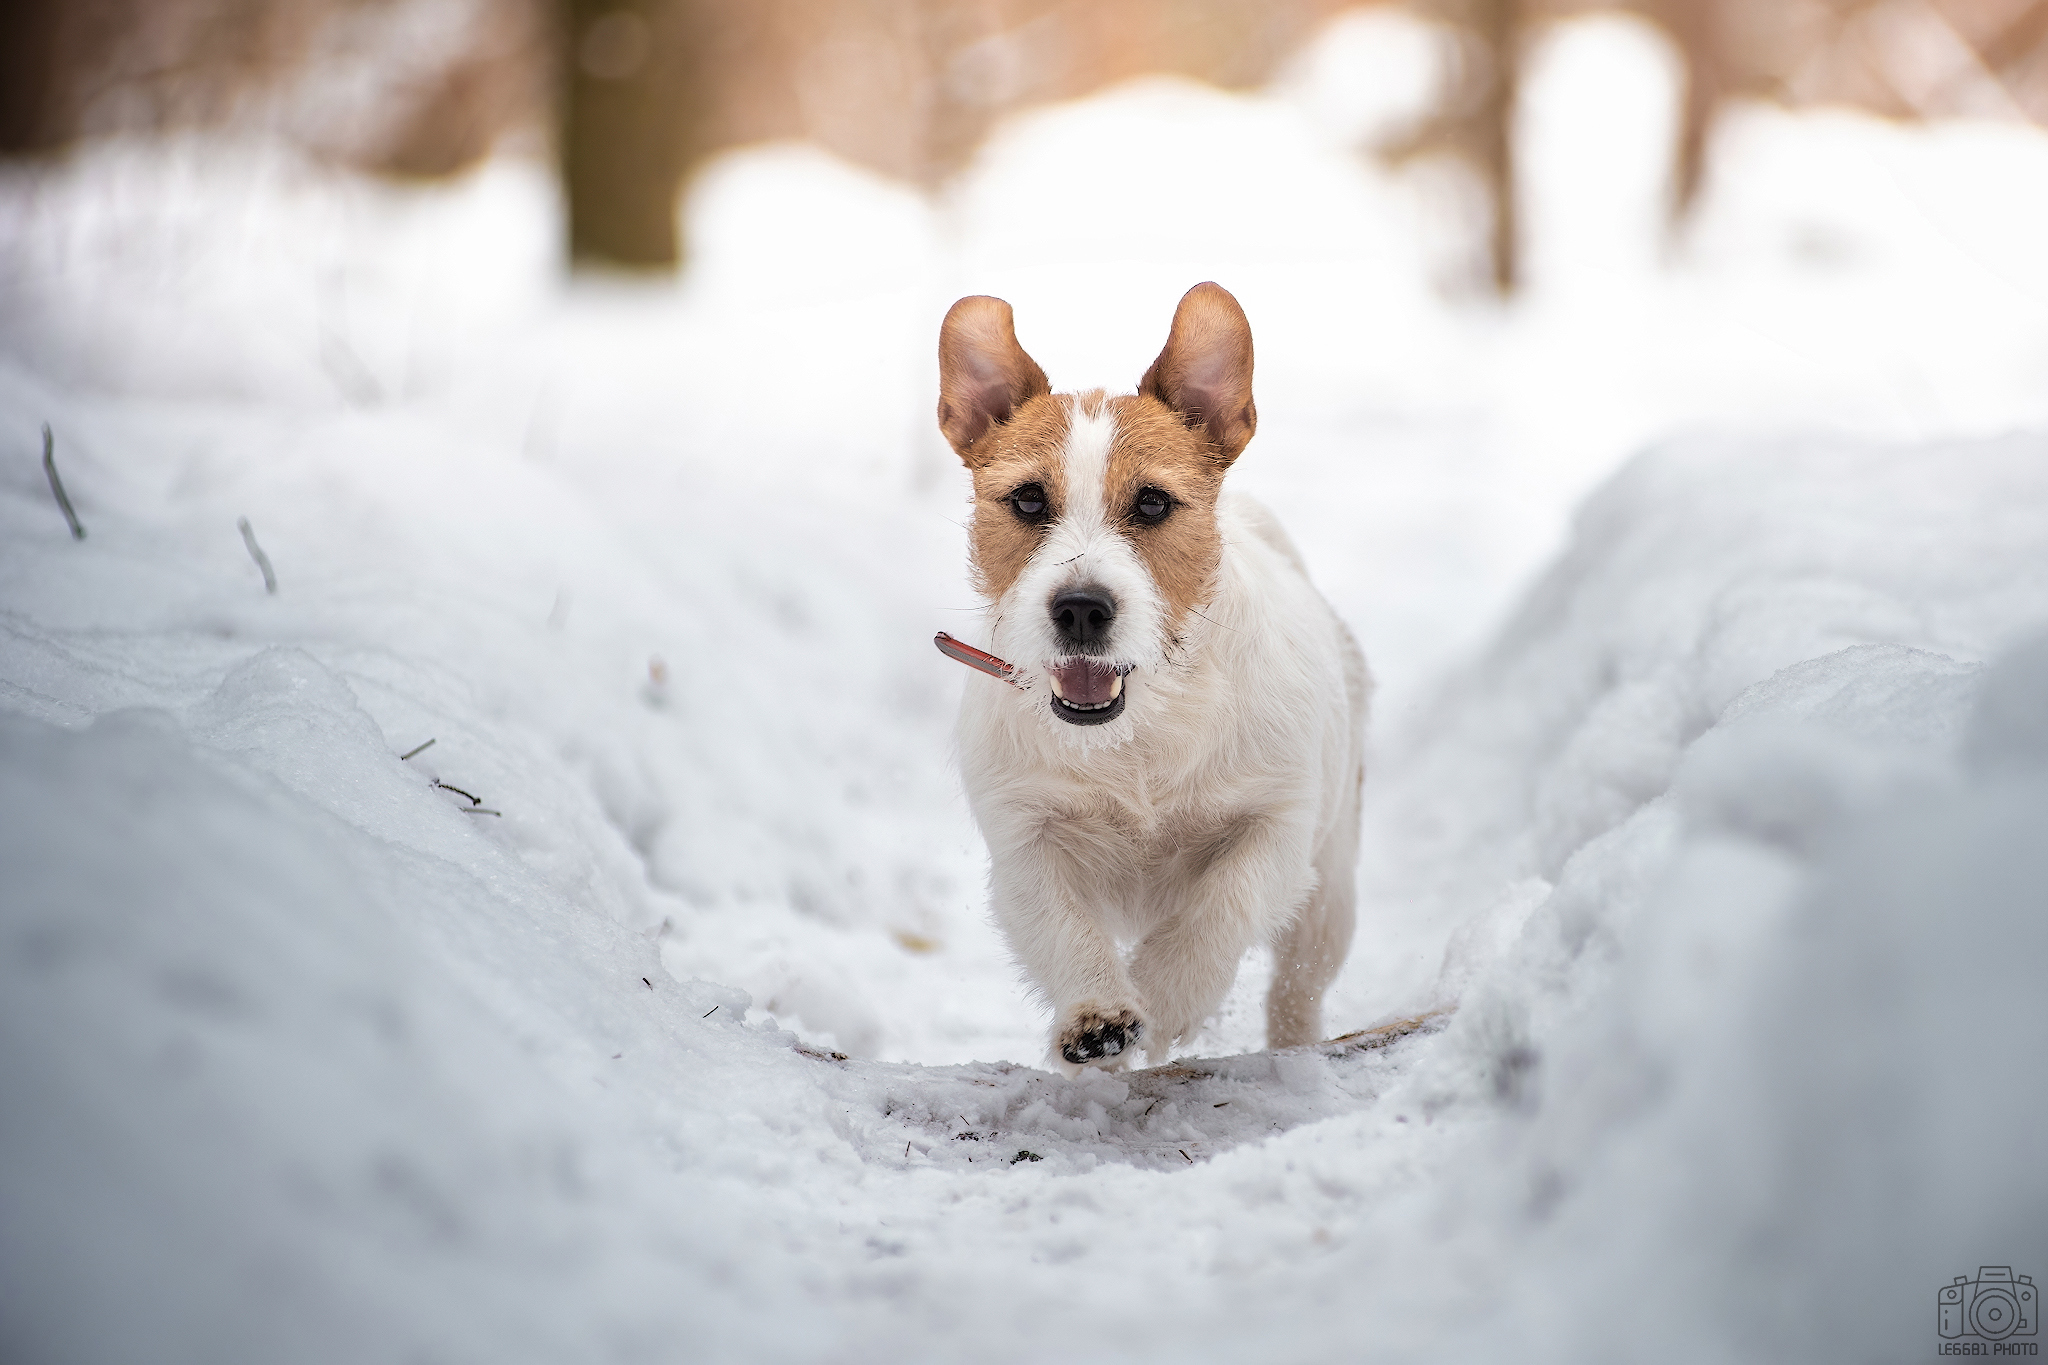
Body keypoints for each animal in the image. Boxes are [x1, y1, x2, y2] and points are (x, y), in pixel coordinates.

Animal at [937, 282, 1368, 1072]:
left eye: (1153, 502)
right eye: (1028, 500)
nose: (1080, 608)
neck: (1141, 733)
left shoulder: (1277, 824)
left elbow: (1221, 907)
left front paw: (1166, 999)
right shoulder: (1026, 838)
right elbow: (1063, 925)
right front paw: (1098, 1015)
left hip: (1331, 893)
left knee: (1297, 986)